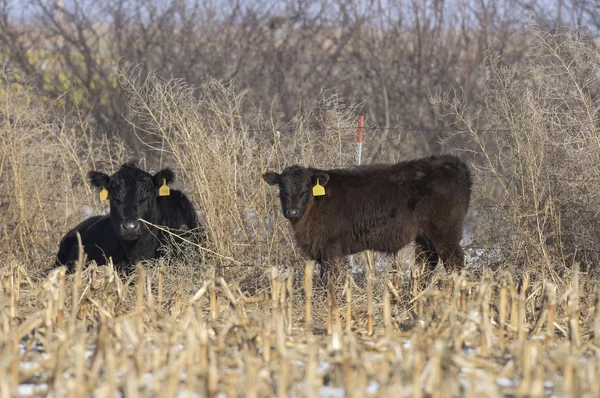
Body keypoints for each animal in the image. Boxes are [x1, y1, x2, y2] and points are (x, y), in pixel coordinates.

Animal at [262, 154, 474, 282]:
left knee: (454, 261)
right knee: (426, 263)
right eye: (283, 189)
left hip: (445, 233)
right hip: (424, 237)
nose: (292, 212)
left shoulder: (331, 247)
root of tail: (452, 162)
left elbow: (329, 279)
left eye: (306, 189)